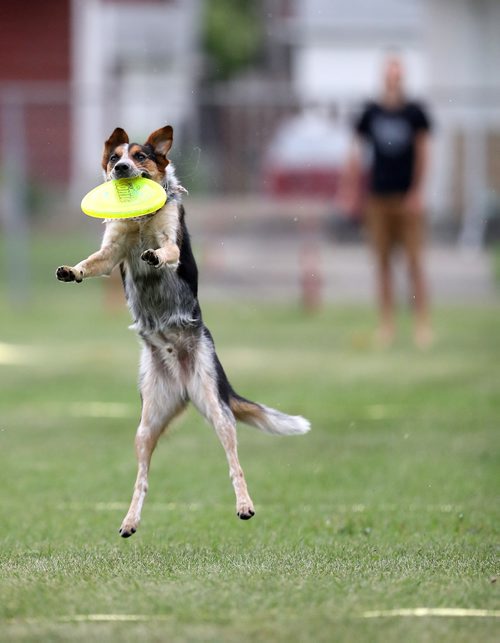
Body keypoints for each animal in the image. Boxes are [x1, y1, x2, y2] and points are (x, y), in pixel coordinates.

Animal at [56, 126, 310, 540]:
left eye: (141, 156)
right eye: (115, 158)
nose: (121, 168)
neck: (140, 220)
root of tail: (183, 383)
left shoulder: (170, 237)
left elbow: (168, 251)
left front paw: (155, 256)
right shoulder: (111, 252)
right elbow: (94, 263)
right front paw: (71, 271)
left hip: (217, 408)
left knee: (235, 464)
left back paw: (244, 505)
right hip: (147, 424)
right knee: (142, 479)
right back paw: (129, 521)